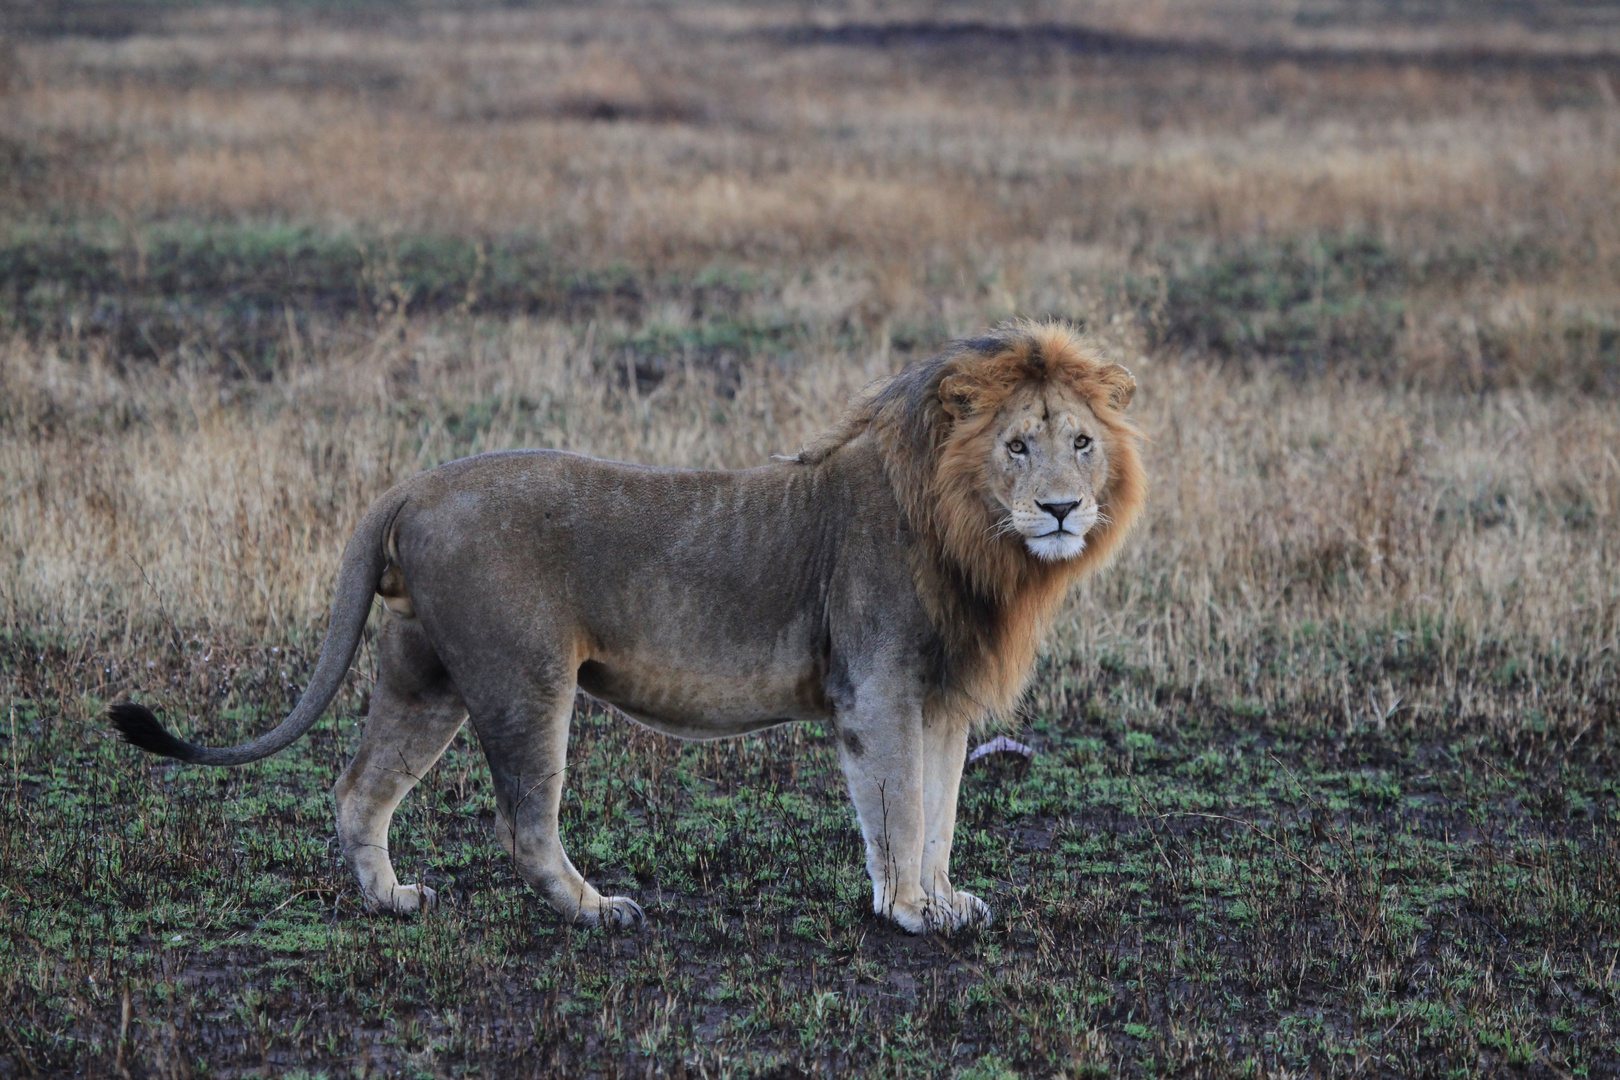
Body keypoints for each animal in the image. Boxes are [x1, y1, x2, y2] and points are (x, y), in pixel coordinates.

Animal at [110, 320, 1140, 939]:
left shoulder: (940, 700)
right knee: (524, 821)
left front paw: (946, 898)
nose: (1060, 508)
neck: (975, 538)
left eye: (1082, 443)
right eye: (1017, 445)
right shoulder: (878, 689)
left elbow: (942, 810)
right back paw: (597, 909)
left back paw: (395, 900)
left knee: (359, 789)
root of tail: (416, 483)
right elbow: (901, 809)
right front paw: (910, 912)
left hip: (423, 675)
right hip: (523, 677)